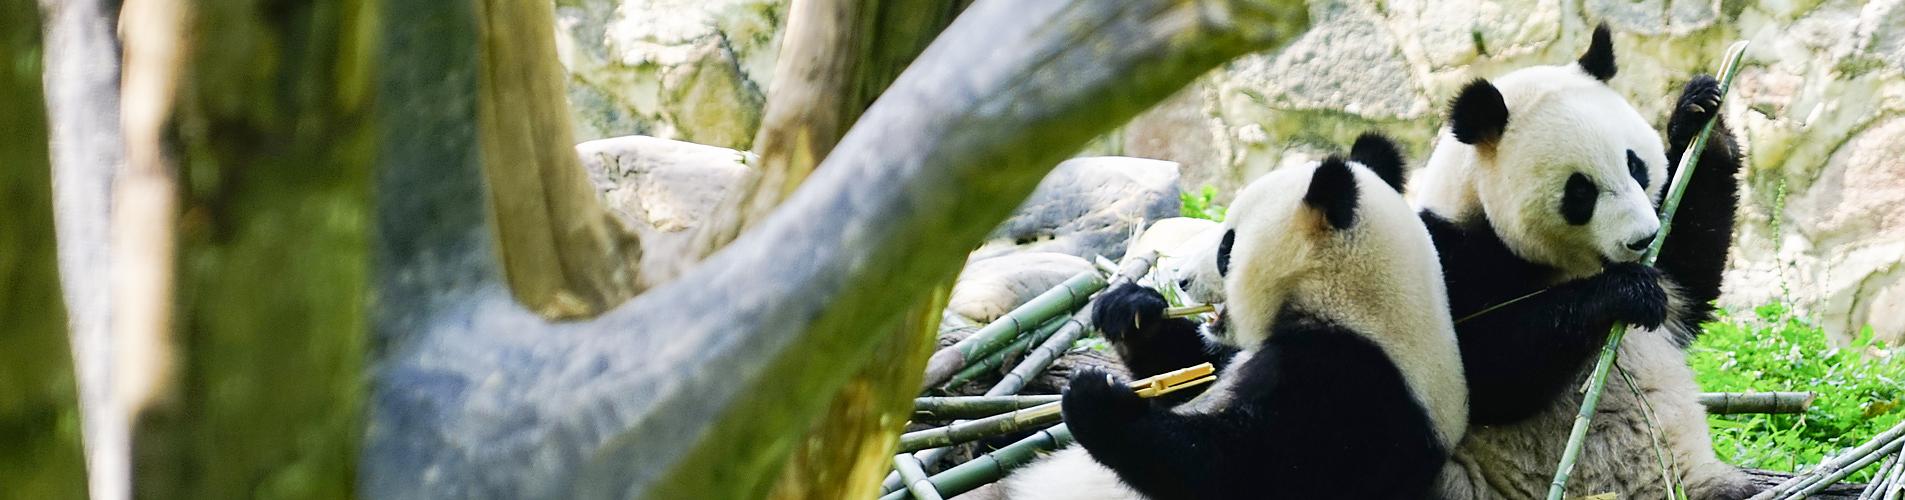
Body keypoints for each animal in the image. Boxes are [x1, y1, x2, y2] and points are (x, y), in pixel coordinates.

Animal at [993, 139, 1468, 499]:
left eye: (1227, 245)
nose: (1181, 279)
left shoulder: (1352, 387)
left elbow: (1241, 471)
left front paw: (1099, 401)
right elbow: (1191, 368)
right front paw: (1130, 309)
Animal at [1408, 24, 1752, 500]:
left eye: (1634, 165)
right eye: (1580, 191)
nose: (1643, 238)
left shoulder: (1669, 266)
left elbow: (1690, 270)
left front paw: (1701, 116)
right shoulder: (1450, 256)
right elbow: (1485, 368)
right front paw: (1627, 293)